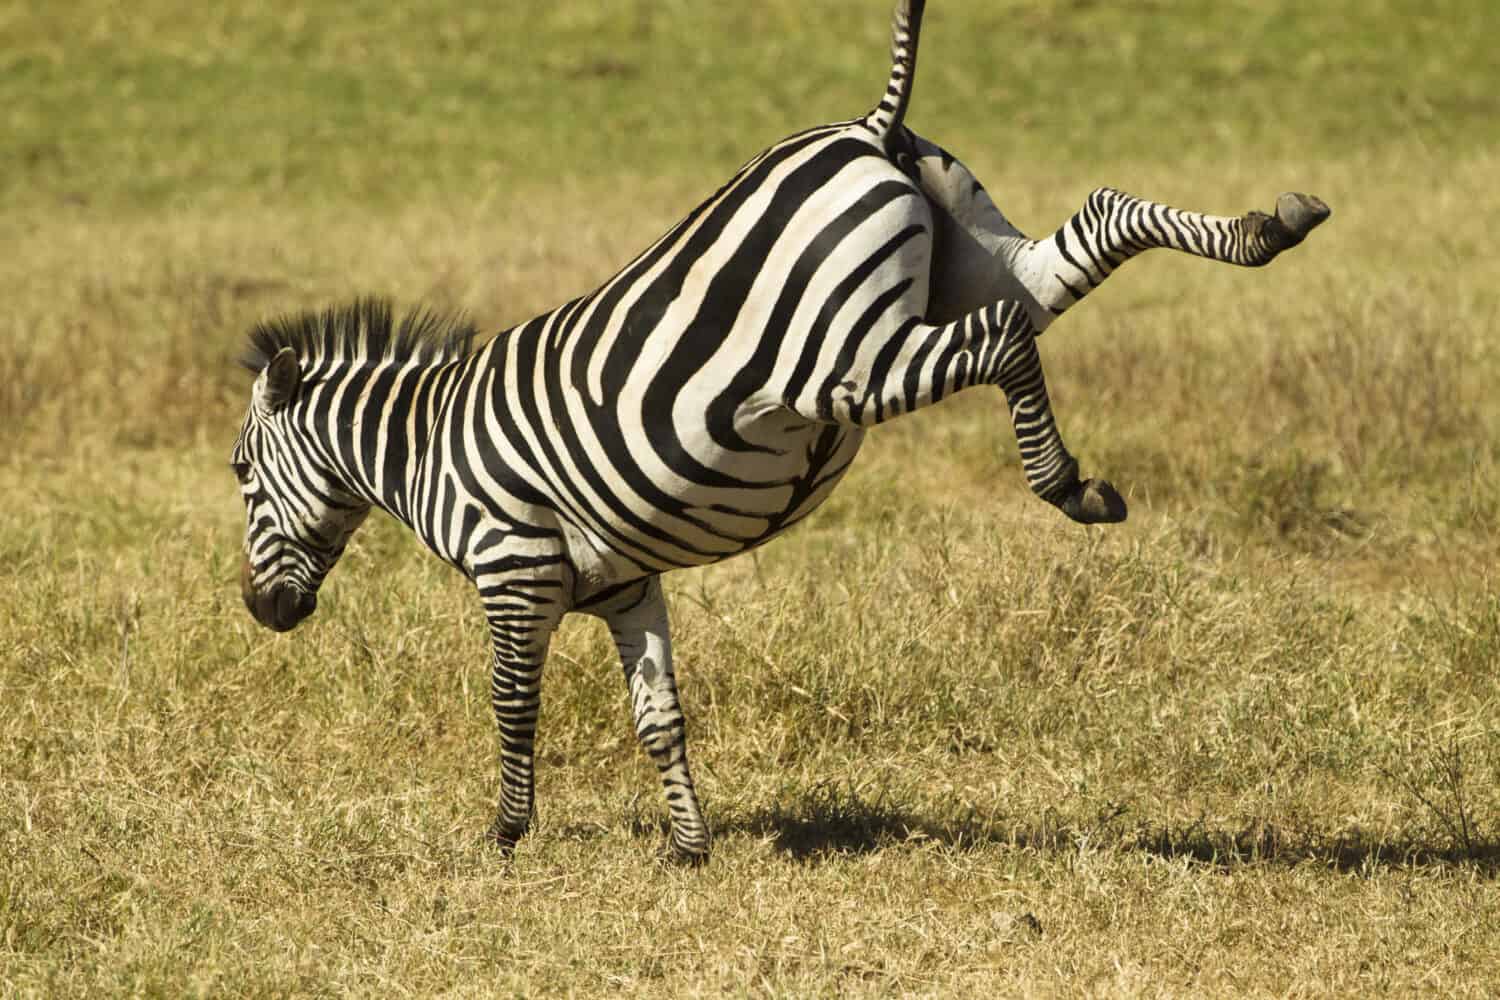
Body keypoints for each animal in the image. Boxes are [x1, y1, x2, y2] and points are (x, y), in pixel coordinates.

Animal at [231, 0, 1328, 863]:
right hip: (985, 259)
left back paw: (1067, 483)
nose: (260, 612)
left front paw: (505, 834)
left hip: (845, 357)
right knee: (1097, 221)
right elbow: (660, 718)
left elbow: (511, 701)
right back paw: (1270, 225)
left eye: (241, 473)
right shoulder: (625, 585)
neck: (422, 449)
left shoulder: (515, 574)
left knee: (1002, 339)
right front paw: (689, 846)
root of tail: (866, 128)